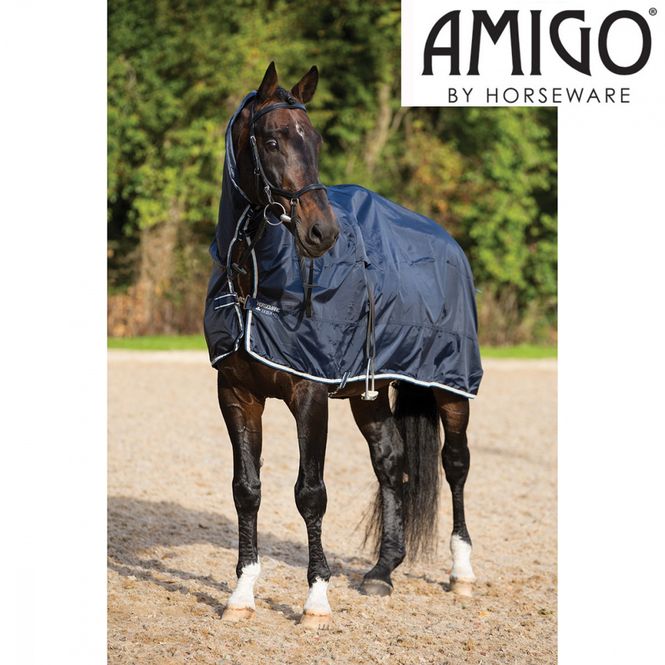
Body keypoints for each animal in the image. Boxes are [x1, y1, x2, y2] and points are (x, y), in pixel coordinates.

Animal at [209, 62, 478, 630]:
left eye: (316, 140)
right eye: (271, 139)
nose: (322, 231)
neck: (254, 278)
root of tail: (448, 242)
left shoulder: (310, 395)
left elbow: (310, 493)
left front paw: (316, 600)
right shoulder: (237, 395)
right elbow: (247, 490)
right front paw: (241, 594)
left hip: (451, 385)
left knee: (456, 464)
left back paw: (462, 572)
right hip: (368, 394)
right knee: (391, 462)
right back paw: (382, 572)